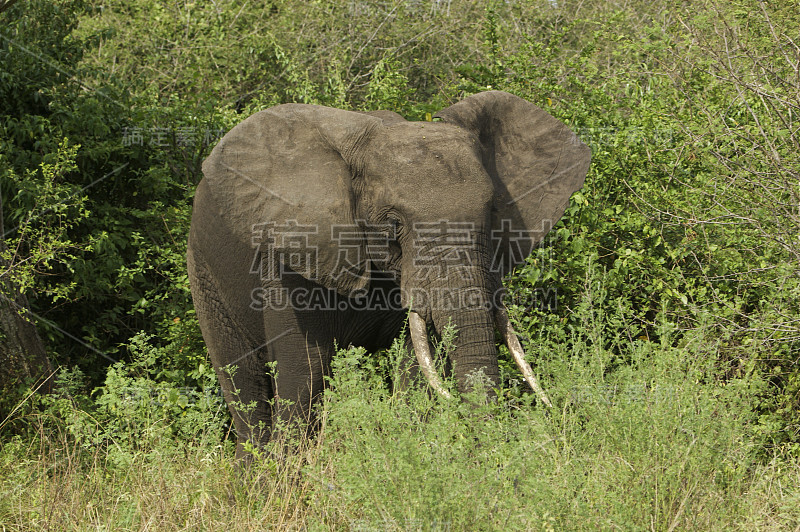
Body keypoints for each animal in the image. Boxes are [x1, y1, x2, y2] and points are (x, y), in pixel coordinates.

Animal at [186, 90, 588, 458]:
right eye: (393, 224)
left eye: (491, 215)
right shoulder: (289, 251)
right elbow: (306, 366)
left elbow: (415, 363)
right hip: (203, 269)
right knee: (243, 382)